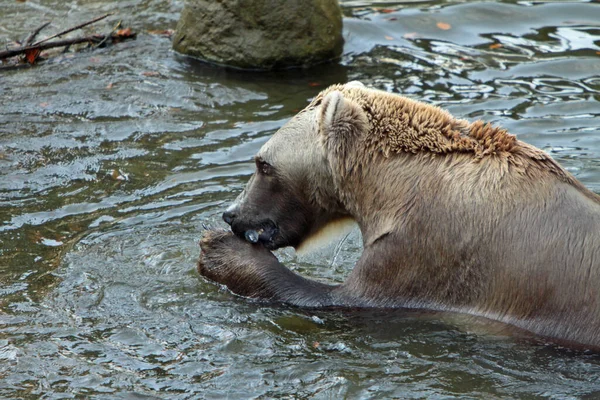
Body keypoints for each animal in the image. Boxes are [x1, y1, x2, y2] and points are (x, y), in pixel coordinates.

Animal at [199, 80, 600, 346]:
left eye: (262, 163)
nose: (232, 214)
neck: (388, 188)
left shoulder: (423, 248)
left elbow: (345, 298)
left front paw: (217, 250)